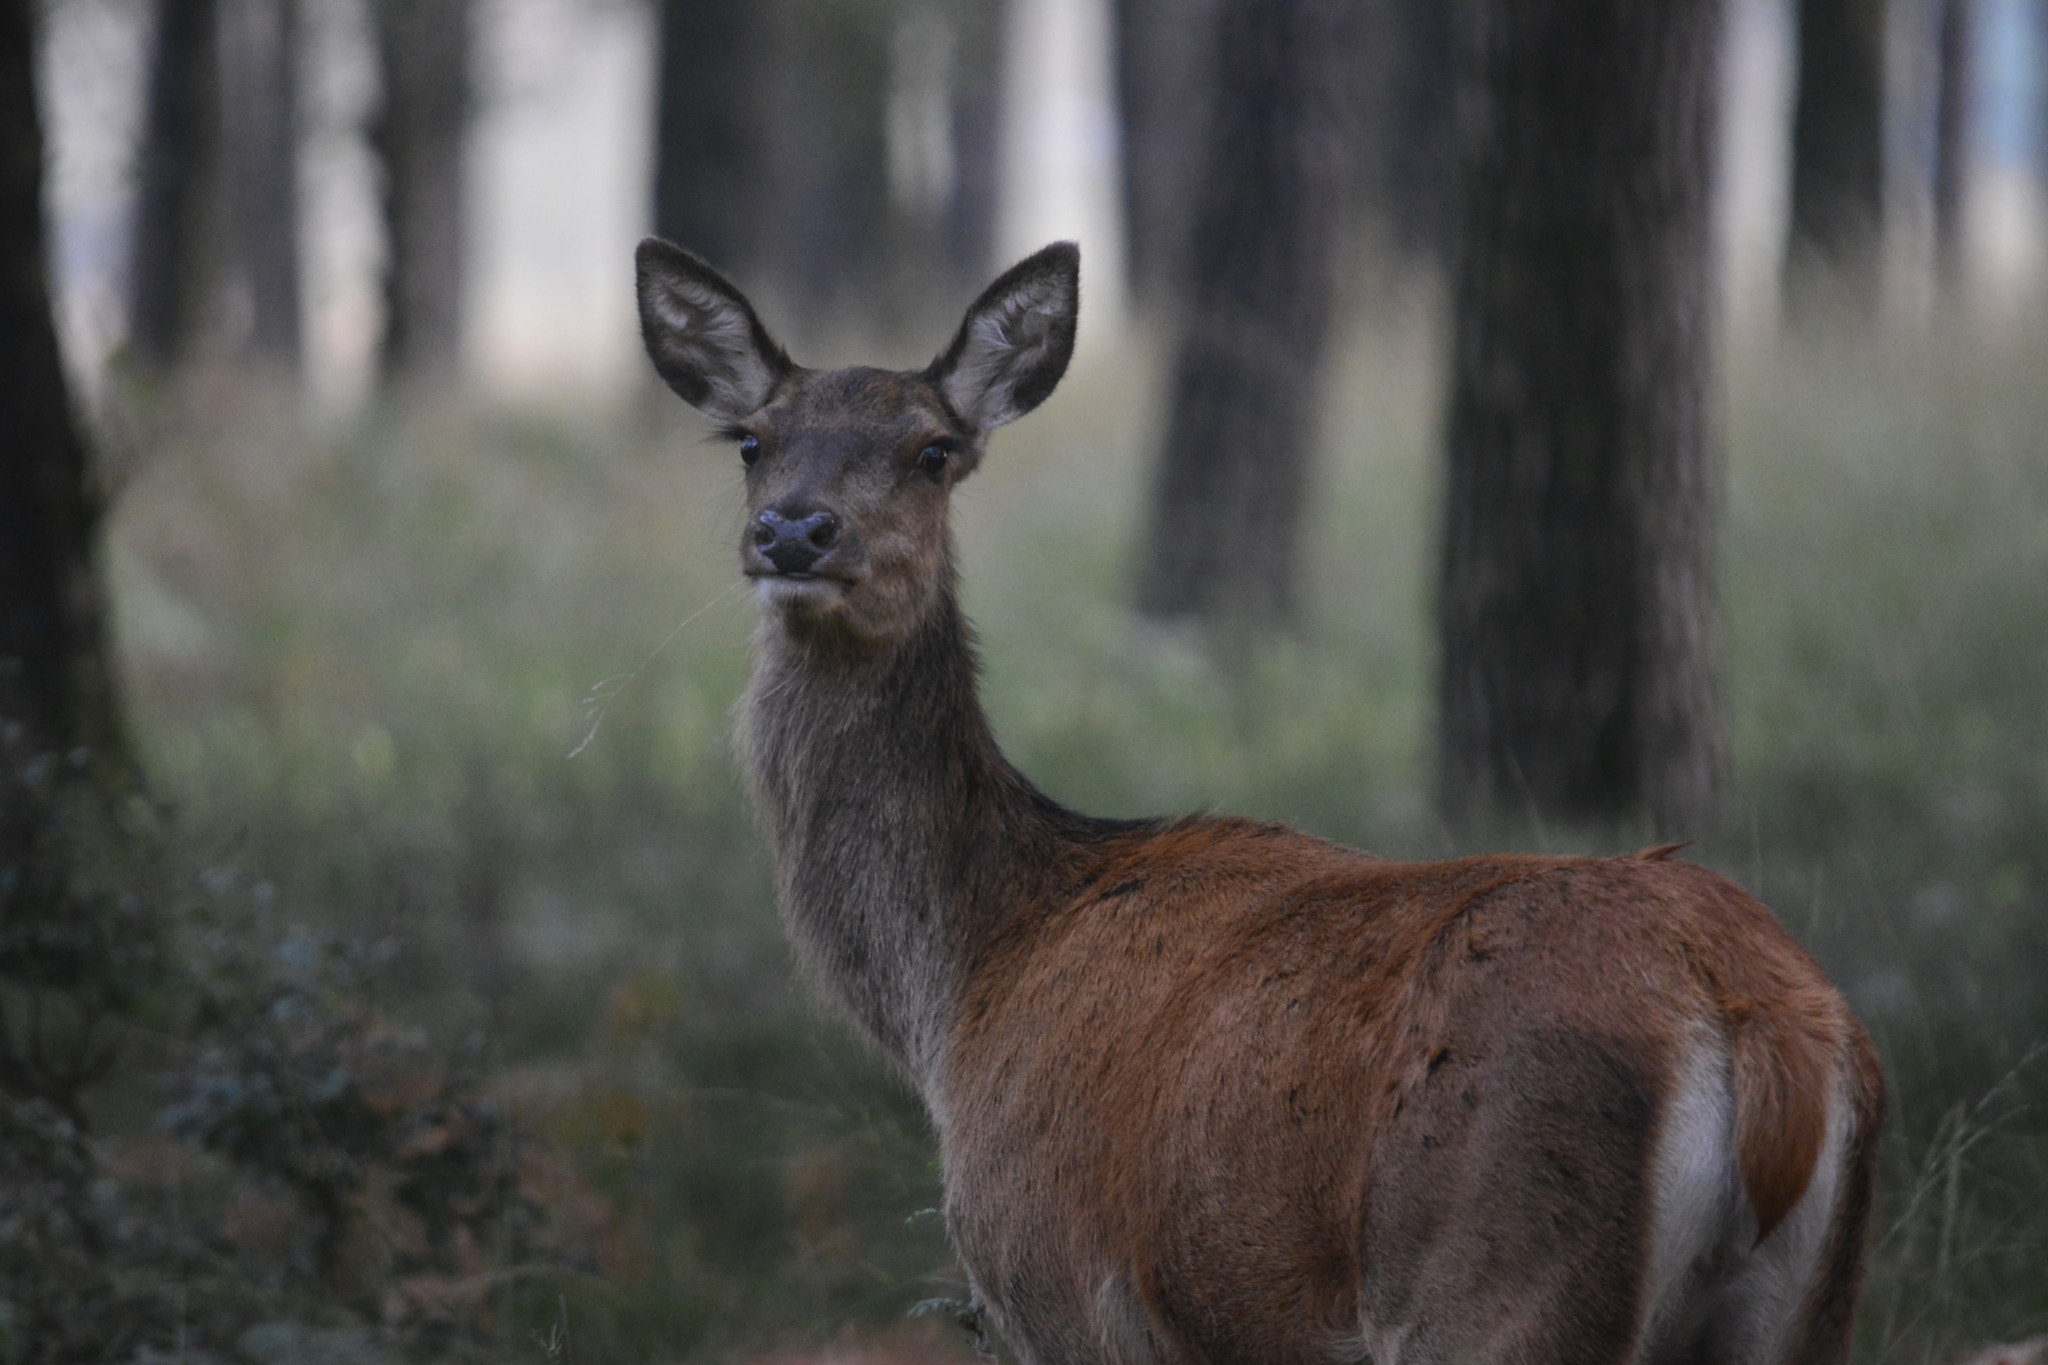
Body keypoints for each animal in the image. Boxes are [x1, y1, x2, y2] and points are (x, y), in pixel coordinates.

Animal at [633, 236, 1885, 1365]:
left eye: (932, 449)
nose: (795, 529)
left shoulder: (1061, 1297)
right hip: (1804, 1313)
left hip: (1496, 1280)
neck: (969, 981)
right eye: (751, 441)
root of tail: (1759, 1032)